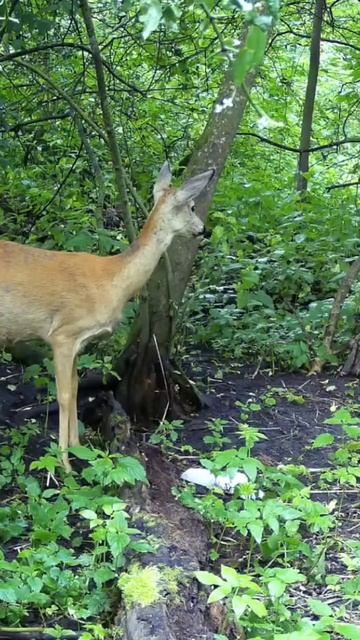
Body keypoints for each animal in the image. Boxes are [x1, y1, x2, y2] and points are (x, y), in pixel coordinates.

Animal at [0, 160, 214, 470]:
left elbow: (76, 387)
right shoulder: (62, 335)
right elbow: (64, 395)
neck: (113, 281)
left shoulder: (80, 343)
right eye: (193, 206)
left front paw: (79, 447)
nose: (204, 230)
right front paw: (64, 465)